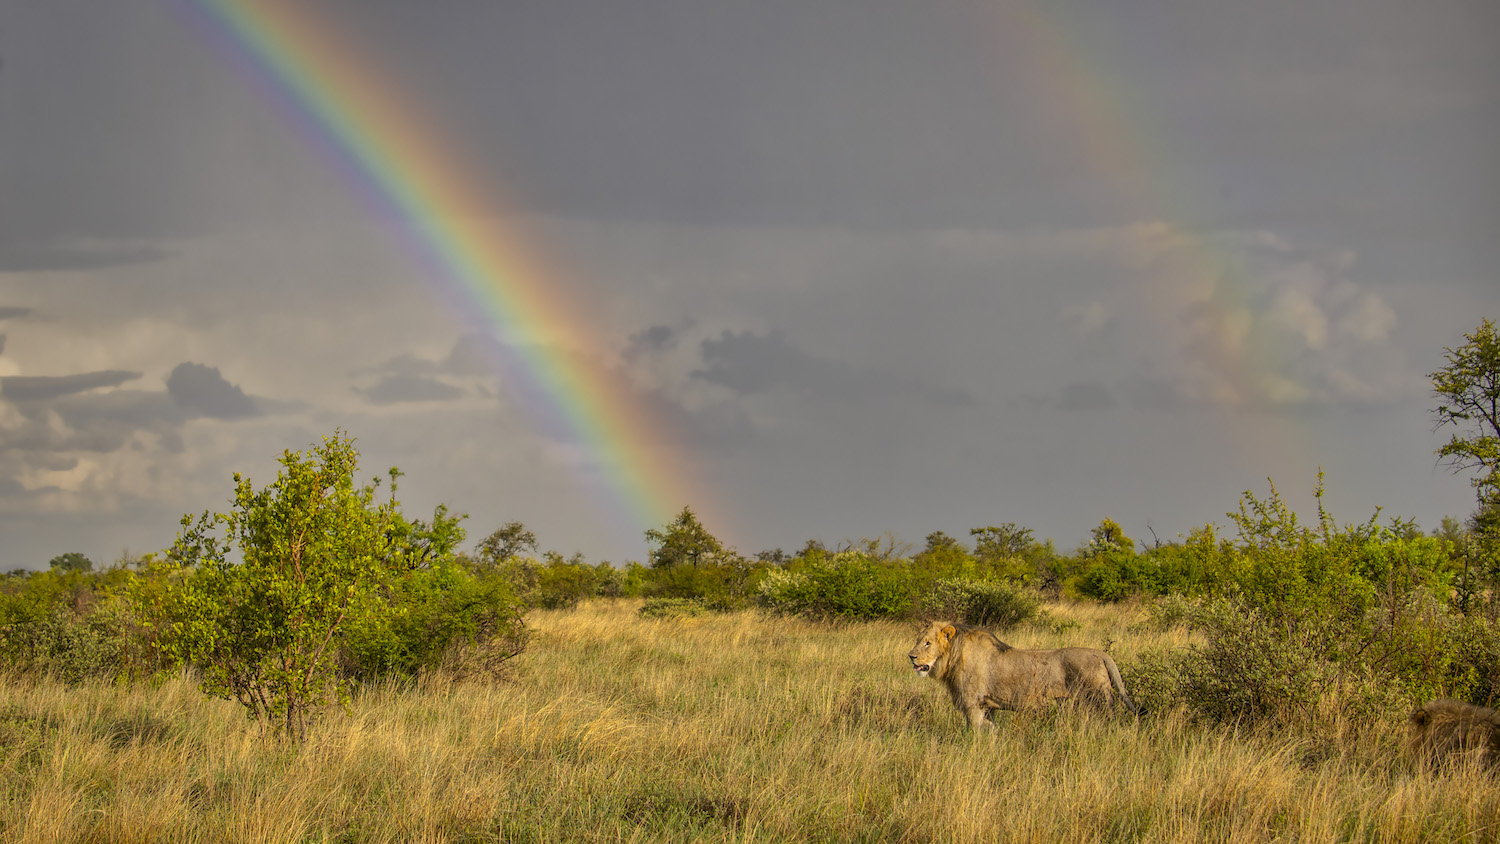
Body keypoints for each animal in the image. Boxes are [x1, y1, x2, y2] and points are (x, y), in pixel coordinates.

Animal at [906, 617, 1140, 728]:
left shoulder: (973, 704)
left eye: (927, 643)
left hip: (1099, 701)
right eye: (918, 640)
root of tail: (1099, 653)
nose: (911, 656)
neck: (952, 658)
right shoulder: (988, 707)